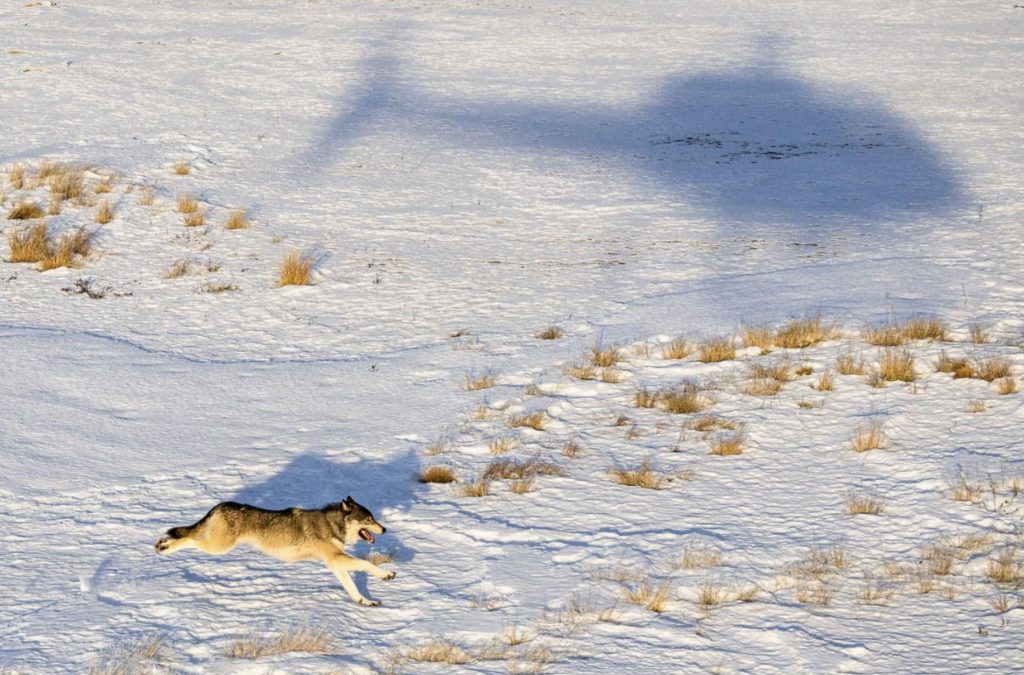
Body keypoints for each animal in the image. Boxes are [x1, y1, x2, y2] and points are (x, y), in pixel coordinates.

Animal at [155, 496, 395, 606]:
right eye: (369, 519)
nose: (384, 529)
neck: (332, 524)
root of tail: (221, 505)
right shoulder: (335, 558)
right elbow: (366, 564)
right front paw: (387, 574)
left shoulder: (334, 563)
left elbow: (352, 587)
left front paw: (365, 602)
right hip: (218, 547)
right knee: (187, 538)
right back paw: (163, 547)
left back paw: (162, 544)